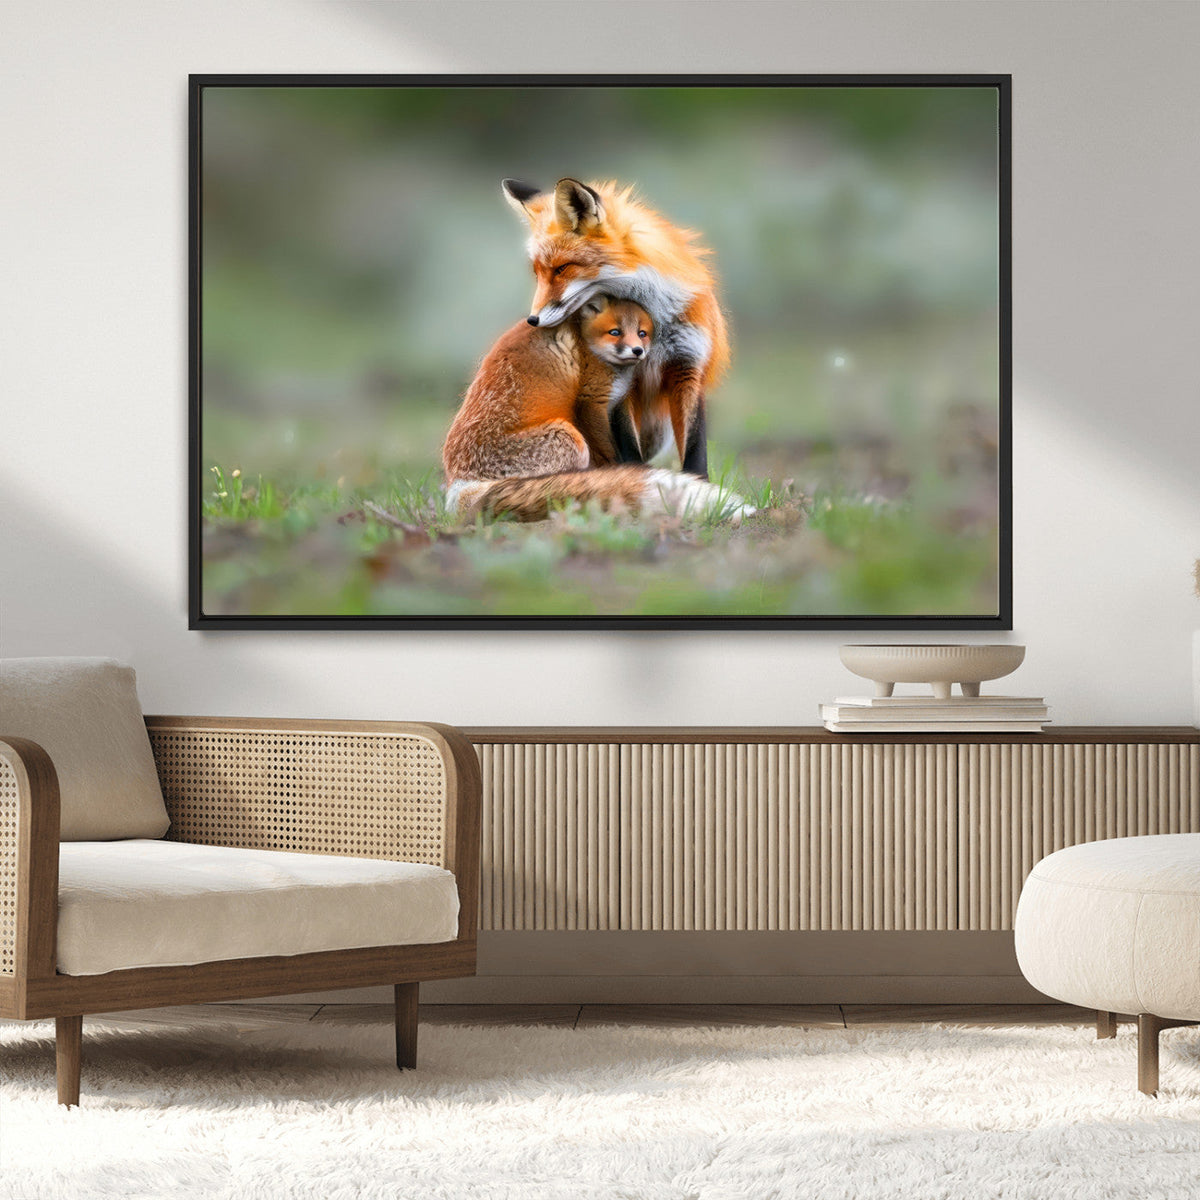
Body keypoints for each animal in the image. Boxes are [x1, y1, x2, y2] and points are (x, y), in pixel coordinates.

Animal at [501, 176, 730, 480]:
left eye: (561, 268)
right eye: (537, 273)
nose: (532, 320)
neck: (654, 323)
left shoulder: (688, 367)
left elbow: (695, 451)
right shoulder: (622, 381)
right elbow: (628, 448)